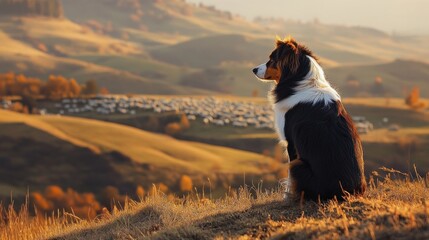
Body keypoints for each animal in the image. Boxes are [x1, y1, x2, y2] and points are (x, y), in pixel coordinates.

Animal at [251, 36, 364, 201]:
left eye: (272, 60)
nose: (253, 69)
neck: (302, 83)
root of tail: (347, 193)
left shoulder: (291, 142)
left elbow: (290, 178)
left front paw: (287, 196)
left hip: (299, 165)